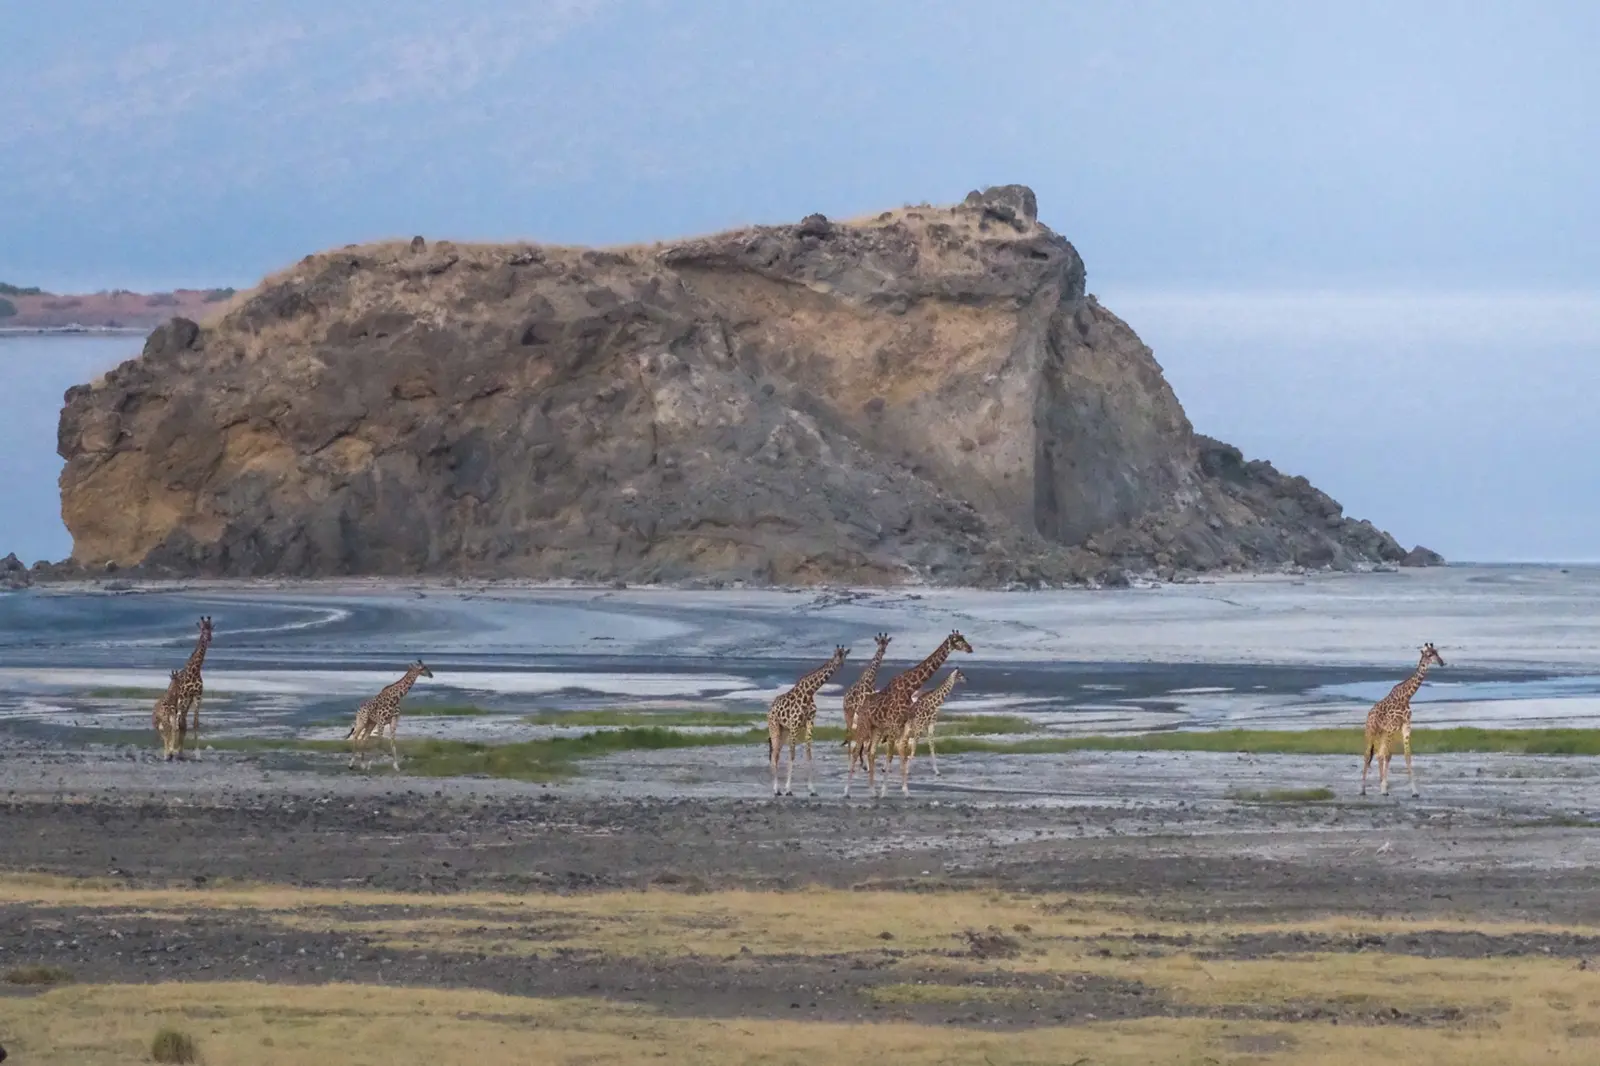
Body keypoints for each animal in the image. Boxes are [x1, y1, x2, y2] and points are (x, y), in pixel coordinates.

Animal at [767, 644, 851, 797]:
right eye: (837, 655)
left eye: (845, 655)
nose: (840, 664)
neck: (810, 692)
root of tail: (770, 710)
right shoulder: (794, 724)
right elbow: (792, 755)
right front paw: (789, 789)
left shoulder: (810, 723)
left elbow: (809, 754)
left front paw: (812, 789)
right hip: (774, 727)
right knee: (774, 755)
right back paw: (776, 789)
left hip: (784, 731)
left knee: (776, 754)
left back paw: (778, 789)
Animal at [842, 633, 892, 771]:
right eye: (879, 642)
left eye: (886, 643)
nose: (882, 650)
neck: (870, 681)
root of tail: (844, 699)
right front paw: (864, 763)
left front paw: (865, 763)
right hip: (849, 714)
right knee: (849, 734)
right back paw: (850, 761)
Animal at [1361, 643, 1446, 797]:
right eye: (1429, 654)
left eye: (1437, 652)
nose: (1442, 662)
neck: (1406, 697)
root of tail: (1369, 713)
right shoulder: (1391, 728)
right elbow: (1387, 755)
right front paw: (1384, 789)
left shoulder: (1405, 727)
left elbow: (1407, 757)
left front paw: (1414, 791)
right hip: (1371, 731)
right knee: (1367, 755)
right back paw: (1363, 789)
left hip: (1382, 733)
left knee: (1378, 754)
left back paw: (1381, 784)